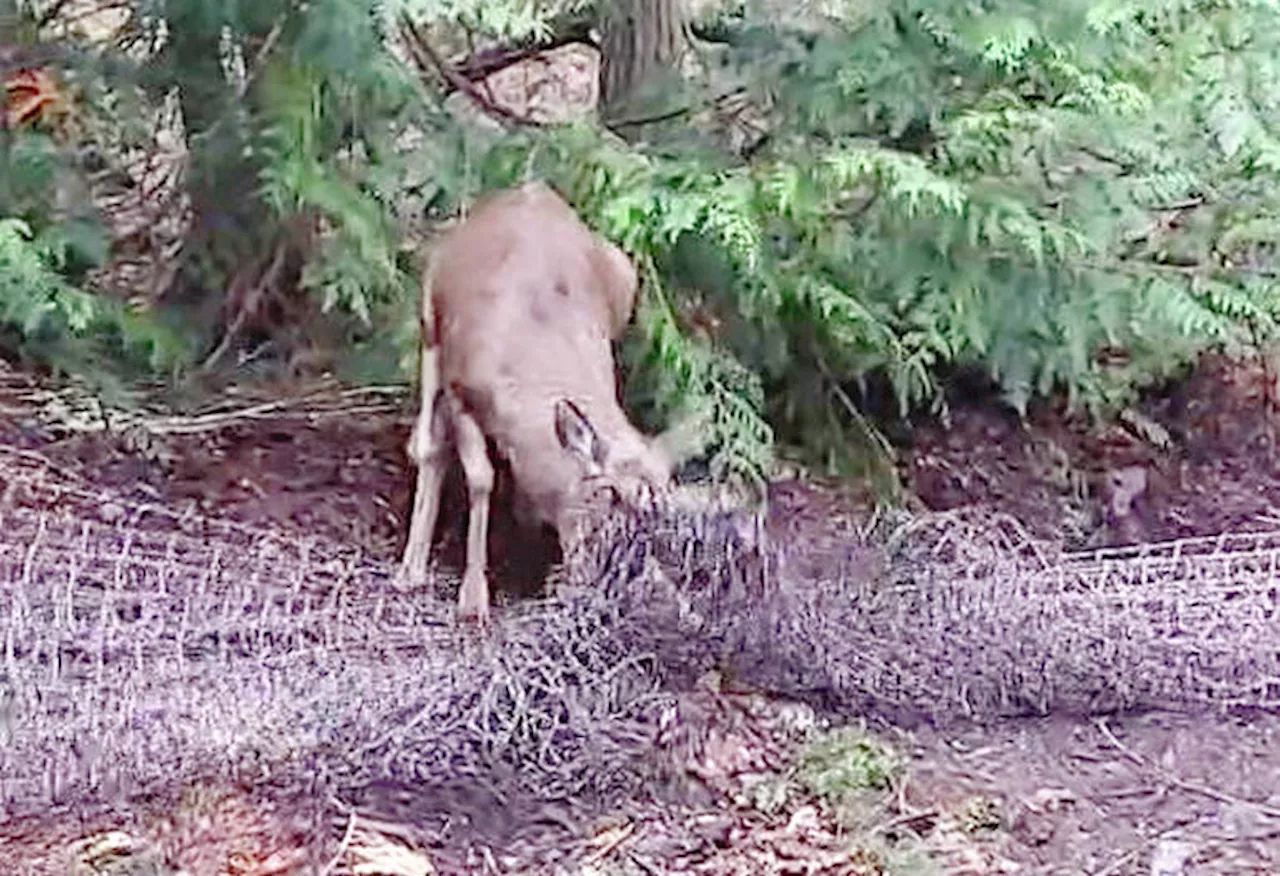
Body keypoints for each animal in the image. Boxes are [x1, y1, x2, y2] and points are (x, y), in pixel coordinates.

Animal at [396, 179, 706, 622]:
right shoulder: (460, 385)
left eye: (663, 513)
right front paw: (473, 598)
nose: (617, 580)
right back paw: (412, 568)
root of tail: (533, 190)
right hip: (429, 318)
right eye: (610, 494)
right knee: (428, 443)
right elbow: (479, 478)